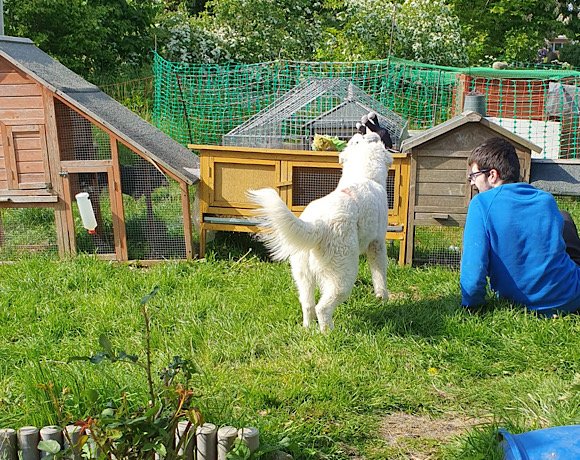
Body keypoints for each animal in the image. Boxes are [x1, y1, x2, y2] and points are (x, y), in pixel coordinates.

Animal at [247, 131, 393, 331]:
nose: (365, 131)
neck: (363, 175)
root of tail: (317, 225)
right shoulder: (377, 244)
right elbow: (380, 274)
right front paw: (383, 298)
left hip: (302, 274)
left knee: (308, 305)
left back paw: (308, 329)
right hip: (343, 274)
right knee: (322, 308)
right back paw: (329, 333)